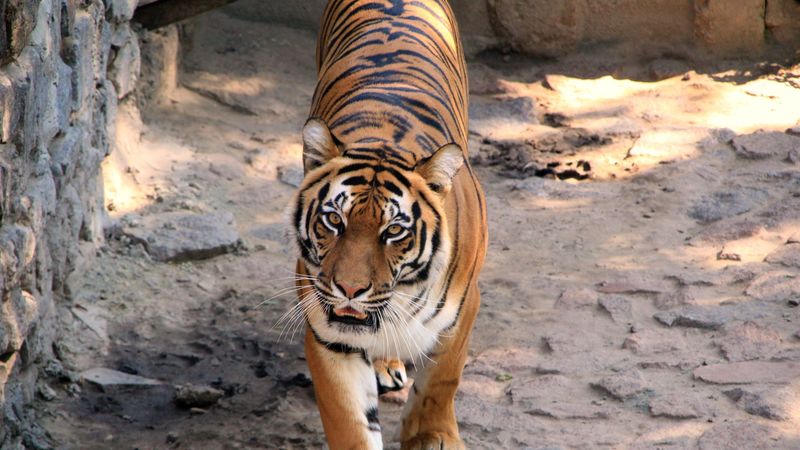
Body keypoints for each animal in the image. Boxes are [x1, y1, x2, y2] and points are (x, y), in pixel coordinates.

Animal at [290, 0, 487, 448]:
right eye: (334, 220)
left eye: (394, 231)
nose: (349, 289)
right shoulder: (329, 331)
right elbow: (351, 422)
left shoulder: (463, 309)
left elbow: (441, 379)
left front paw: (433, 436)